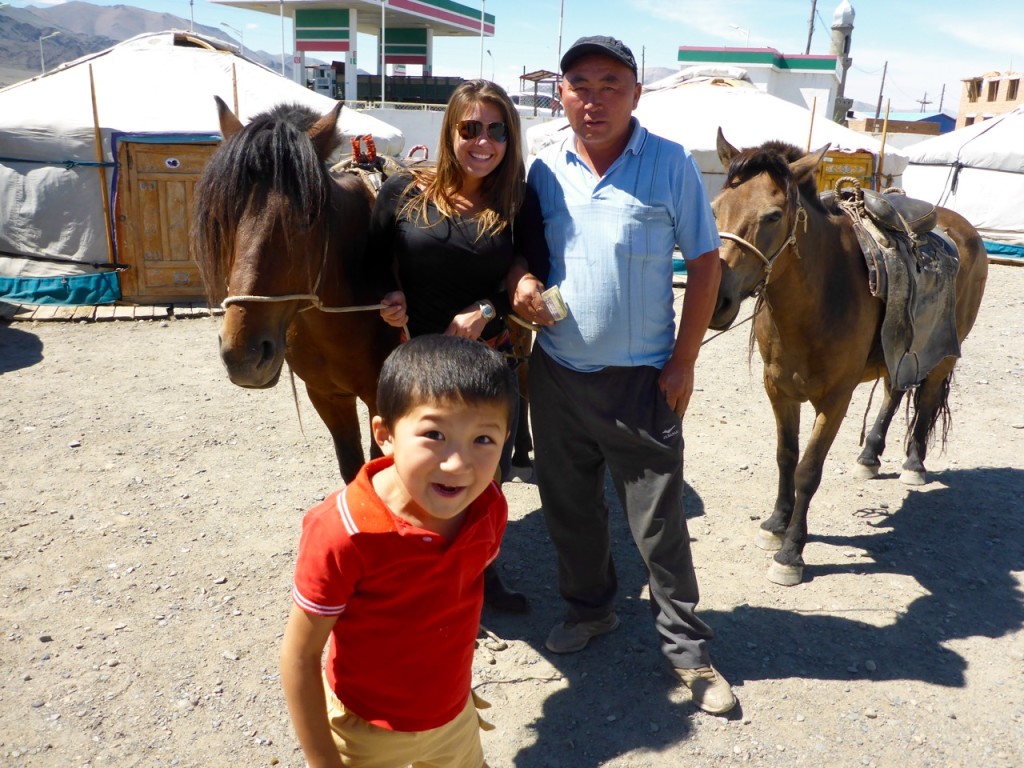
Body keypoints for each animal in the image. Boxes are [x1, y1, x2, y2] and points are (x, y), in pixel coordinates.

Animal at [190, 96, 397, 481]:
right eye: (223, 217)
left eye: (305, 220)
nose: (243, 355)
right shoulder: (327, 396)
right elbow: (352, 469)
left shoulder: (382, 399)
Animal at [708, 131, 987, 589]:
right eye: (716, 208)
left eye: (773, 216)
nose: (717, 299)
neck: (820, 296)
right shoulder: (778, 389)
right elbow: (785, 456)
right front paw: (776, 524)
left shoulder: (835, 399)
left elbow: (808, 470)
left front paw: (791, 553)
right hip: (899, 350)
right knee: (894, 393)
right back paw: (870, 456)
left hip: (945, 352)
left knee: (926, 400)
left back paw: (914, 463)